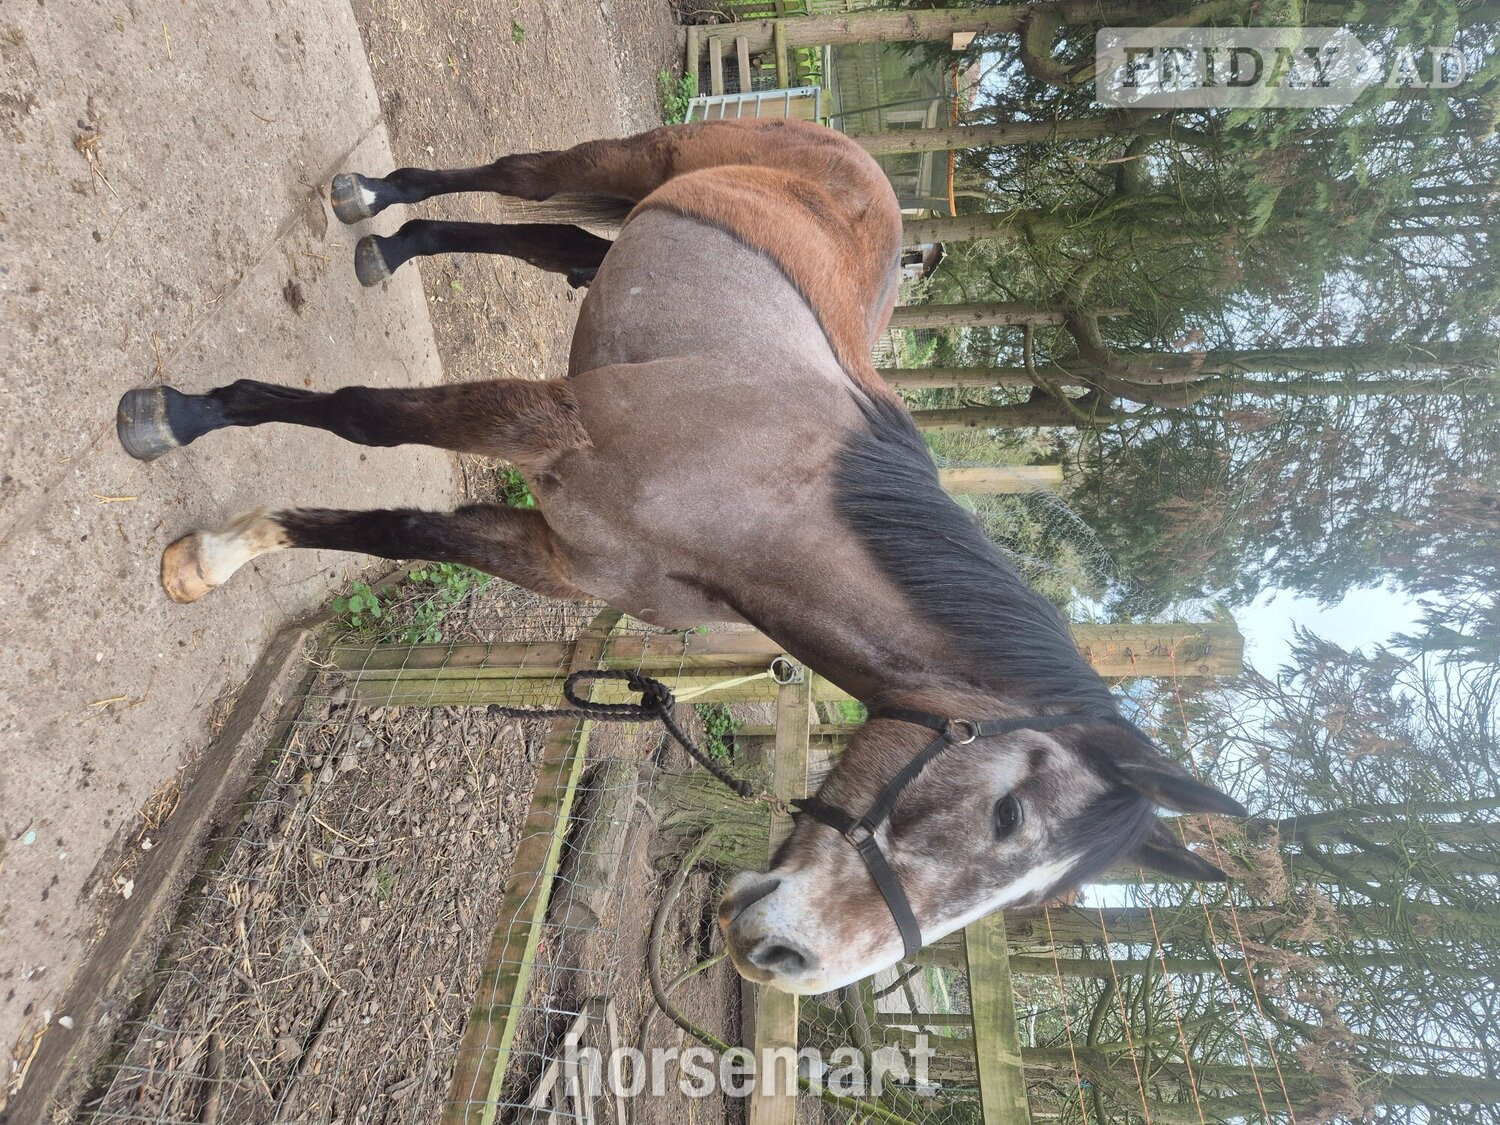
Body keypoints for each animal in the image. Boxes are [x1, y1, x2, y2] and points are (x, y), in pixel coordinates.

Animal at [115, 119, 1246, 995]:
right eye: (1008, 812)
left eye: (1044, 896)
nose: (788, 959)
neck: (755, 497)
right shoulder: (543, 425)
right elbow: (364, 419)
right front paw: (182, 421)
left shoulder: (557, 553)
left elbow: (398, 529)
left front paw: (219, 553)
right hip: (632, 158)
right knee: (523, 175)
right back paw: (374, 203)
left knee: (554, 240)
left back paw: (394, 247)